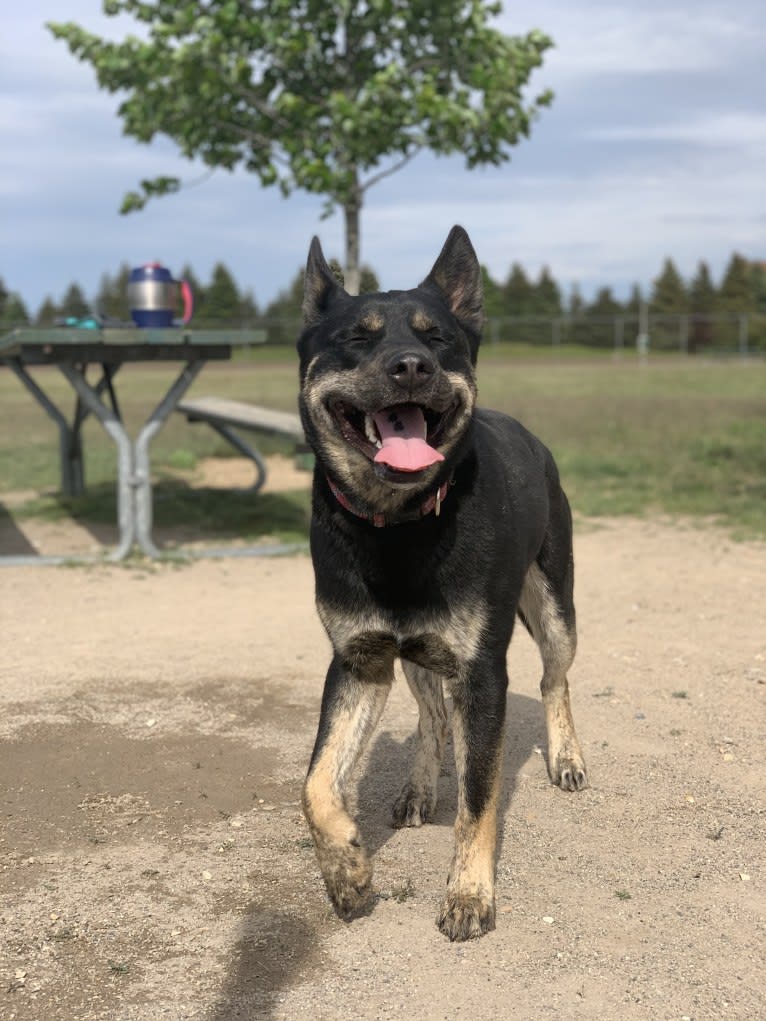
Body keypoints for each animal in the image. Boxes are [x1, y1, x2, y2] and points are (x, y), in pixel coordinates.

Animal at [296, 225, 584, 939]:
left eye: (438, 339)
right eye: (358, 337)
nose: (411, 367)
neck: (398, 526)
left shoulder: (482, 675)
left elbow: (478, 798)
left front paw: (469, 894)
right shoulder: (358, 660)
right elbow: (315, 784)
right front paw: (346, 871)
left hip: (555, 609)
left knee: (555, 679)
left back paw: (566, 758)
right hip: (421, 656)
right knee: (430, 718)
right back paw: (419, 788)